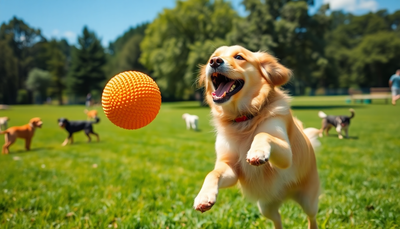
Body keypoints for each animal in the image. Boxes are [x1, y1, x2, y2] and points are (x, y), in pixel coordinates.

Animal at [192, 45, 320, 228]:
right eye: (213, 56)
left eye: (239, 57)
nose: (215, 62)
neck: (243, 118)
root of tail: (286, 196)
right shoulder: (230, 167)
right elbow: (212, 173)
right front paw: (204, 196)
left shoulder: (287, 155)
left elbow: (262, 133)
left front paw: (257, 152)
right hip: (266, 207)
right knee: (278, 220)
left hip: (309, 200)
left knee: (312, 217)